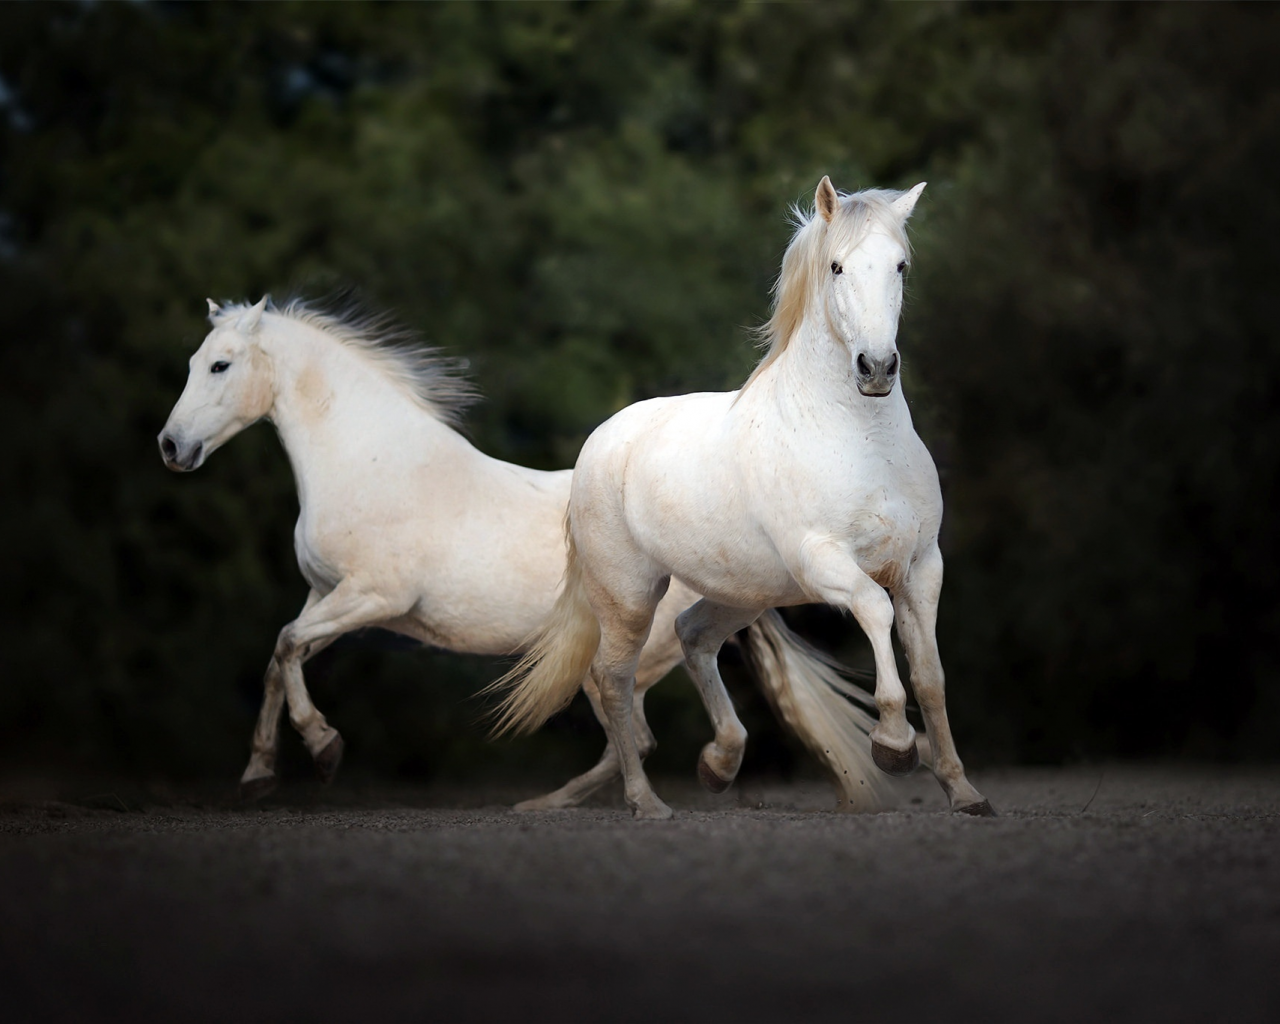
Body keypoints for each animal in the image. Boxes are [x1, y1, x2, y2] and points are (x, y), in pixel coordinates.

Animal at [160, 291, 896, 814]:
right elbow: (278, 659)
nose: (171, 447)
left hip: (629, 652)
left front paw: (325, 749)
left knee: (633, 733)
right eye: (193, 363)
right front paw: (258, 775)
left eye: (220, 365)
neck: (372, 464)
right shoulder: (328, 596)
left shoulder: (371, 597)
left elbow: (285, 645)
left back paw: (557, 804)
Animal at [494, 174, 993, 814]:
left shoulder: (922, 566)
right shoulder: (826, 563)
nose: (877, 368)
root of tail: (601, 443)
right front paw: (894, 745)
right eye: (836, 266)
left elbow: (931, 676)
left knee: (693, 636)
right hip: (629, 596)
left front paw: (963, 791)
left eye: (901, 266)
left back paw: (720, 762)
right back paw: (646, 802)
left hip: (743, 593)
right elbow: (876, 612)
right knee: (614, 681)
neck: (863, 441)